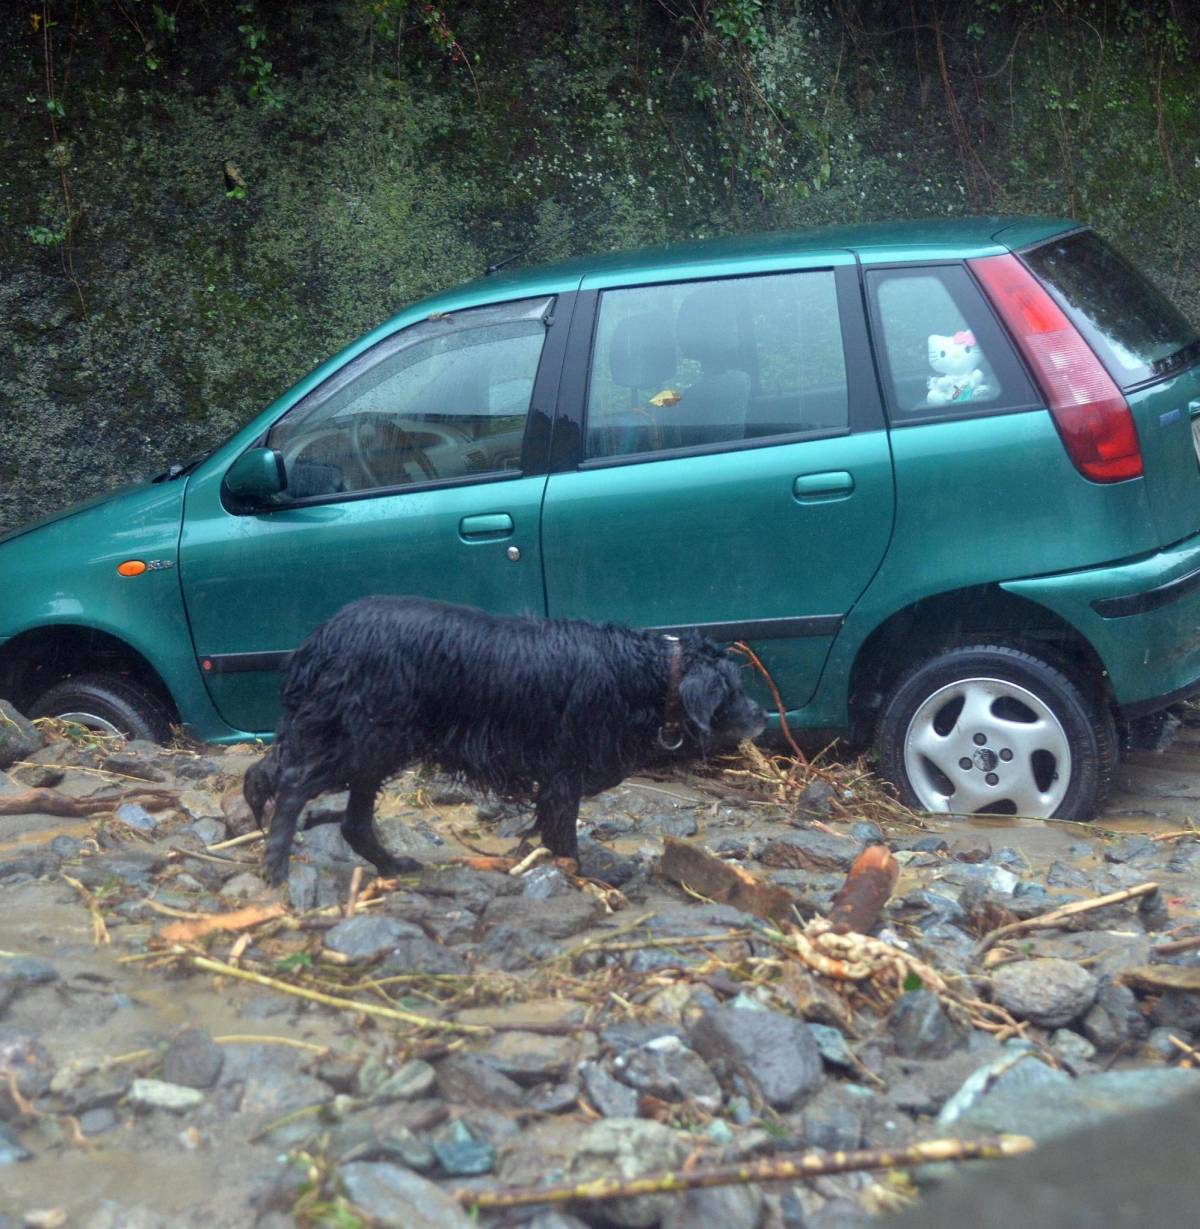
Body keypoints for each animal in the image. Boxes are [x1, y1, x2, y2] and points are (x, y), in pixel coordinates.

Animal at [243, 594, 762, 884]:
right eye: (734, 690)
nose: (762, 713)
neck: (643, 673)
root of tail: (319, 641)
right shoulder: (564, 771)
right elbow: (564, 838)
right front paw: (594, 876)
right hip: (365, 740)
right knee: (292, 784)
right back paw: (276, 866)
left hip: (371, 746)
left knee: (331, 811)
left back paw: (391, 867)